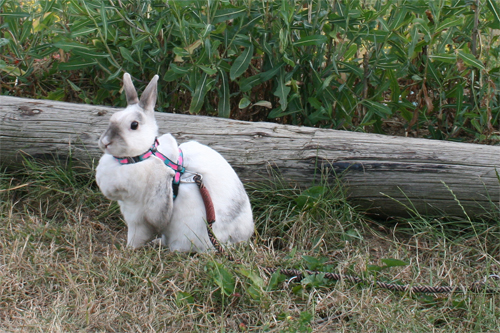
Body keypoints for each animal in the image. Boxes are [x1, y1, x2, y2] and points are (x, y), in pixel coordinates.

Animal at [95, 72, 254, 249]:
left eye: (134, 125)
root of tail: (236, 240)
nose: (105, 142)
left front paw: (128, 249)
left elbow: (139, 235)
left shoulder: (137, 214)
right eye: (112, 117)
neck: (141, 158)